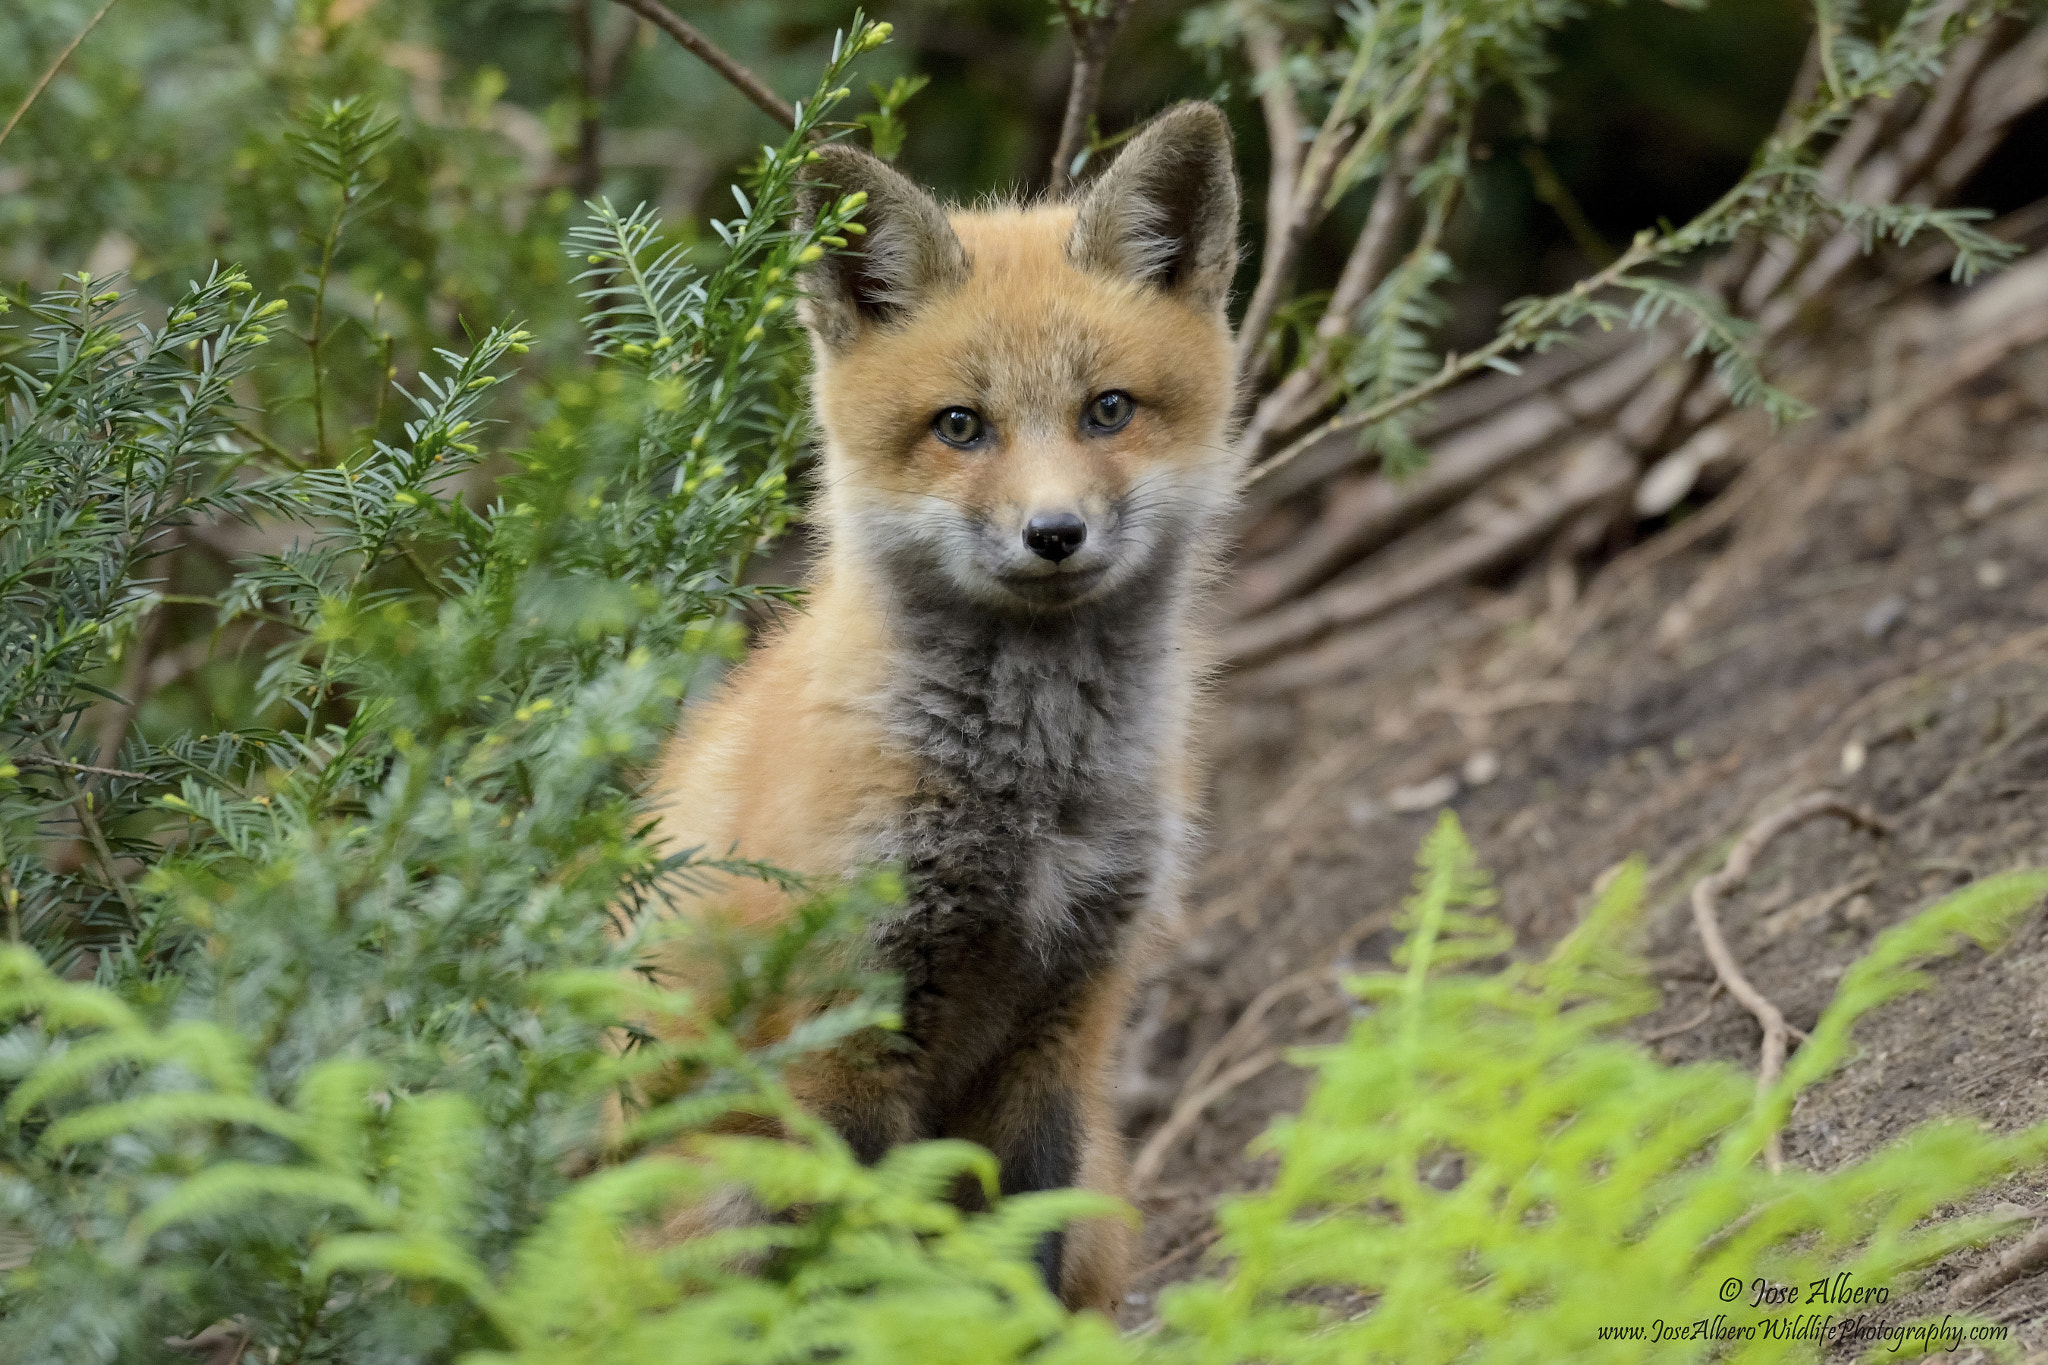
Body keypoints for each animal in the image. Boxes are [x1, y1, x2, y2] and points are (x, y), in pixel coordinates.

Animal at [642, 101, 1241, 1314]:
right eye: (960, 427)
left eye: (1107, 411)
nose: (1054, 533)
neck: (1026, 802)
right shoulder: (842, 1036)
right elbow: (857, 1280)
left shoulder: (1063, 1024)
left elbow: (1021, 1254)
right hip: (716, 1193)